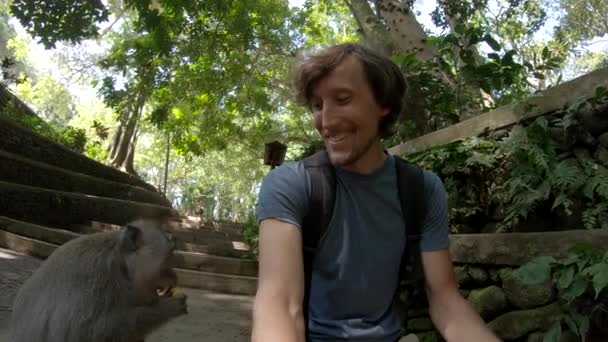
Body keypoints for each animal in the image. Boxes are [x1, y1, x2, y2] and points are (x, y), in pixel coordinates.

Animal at [8, 218, 188, 342]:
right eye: (170, 255)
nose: (175, 276)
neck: (121, 266)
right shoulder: (95, 280)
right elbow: (83, 334)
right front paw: (169, 307)